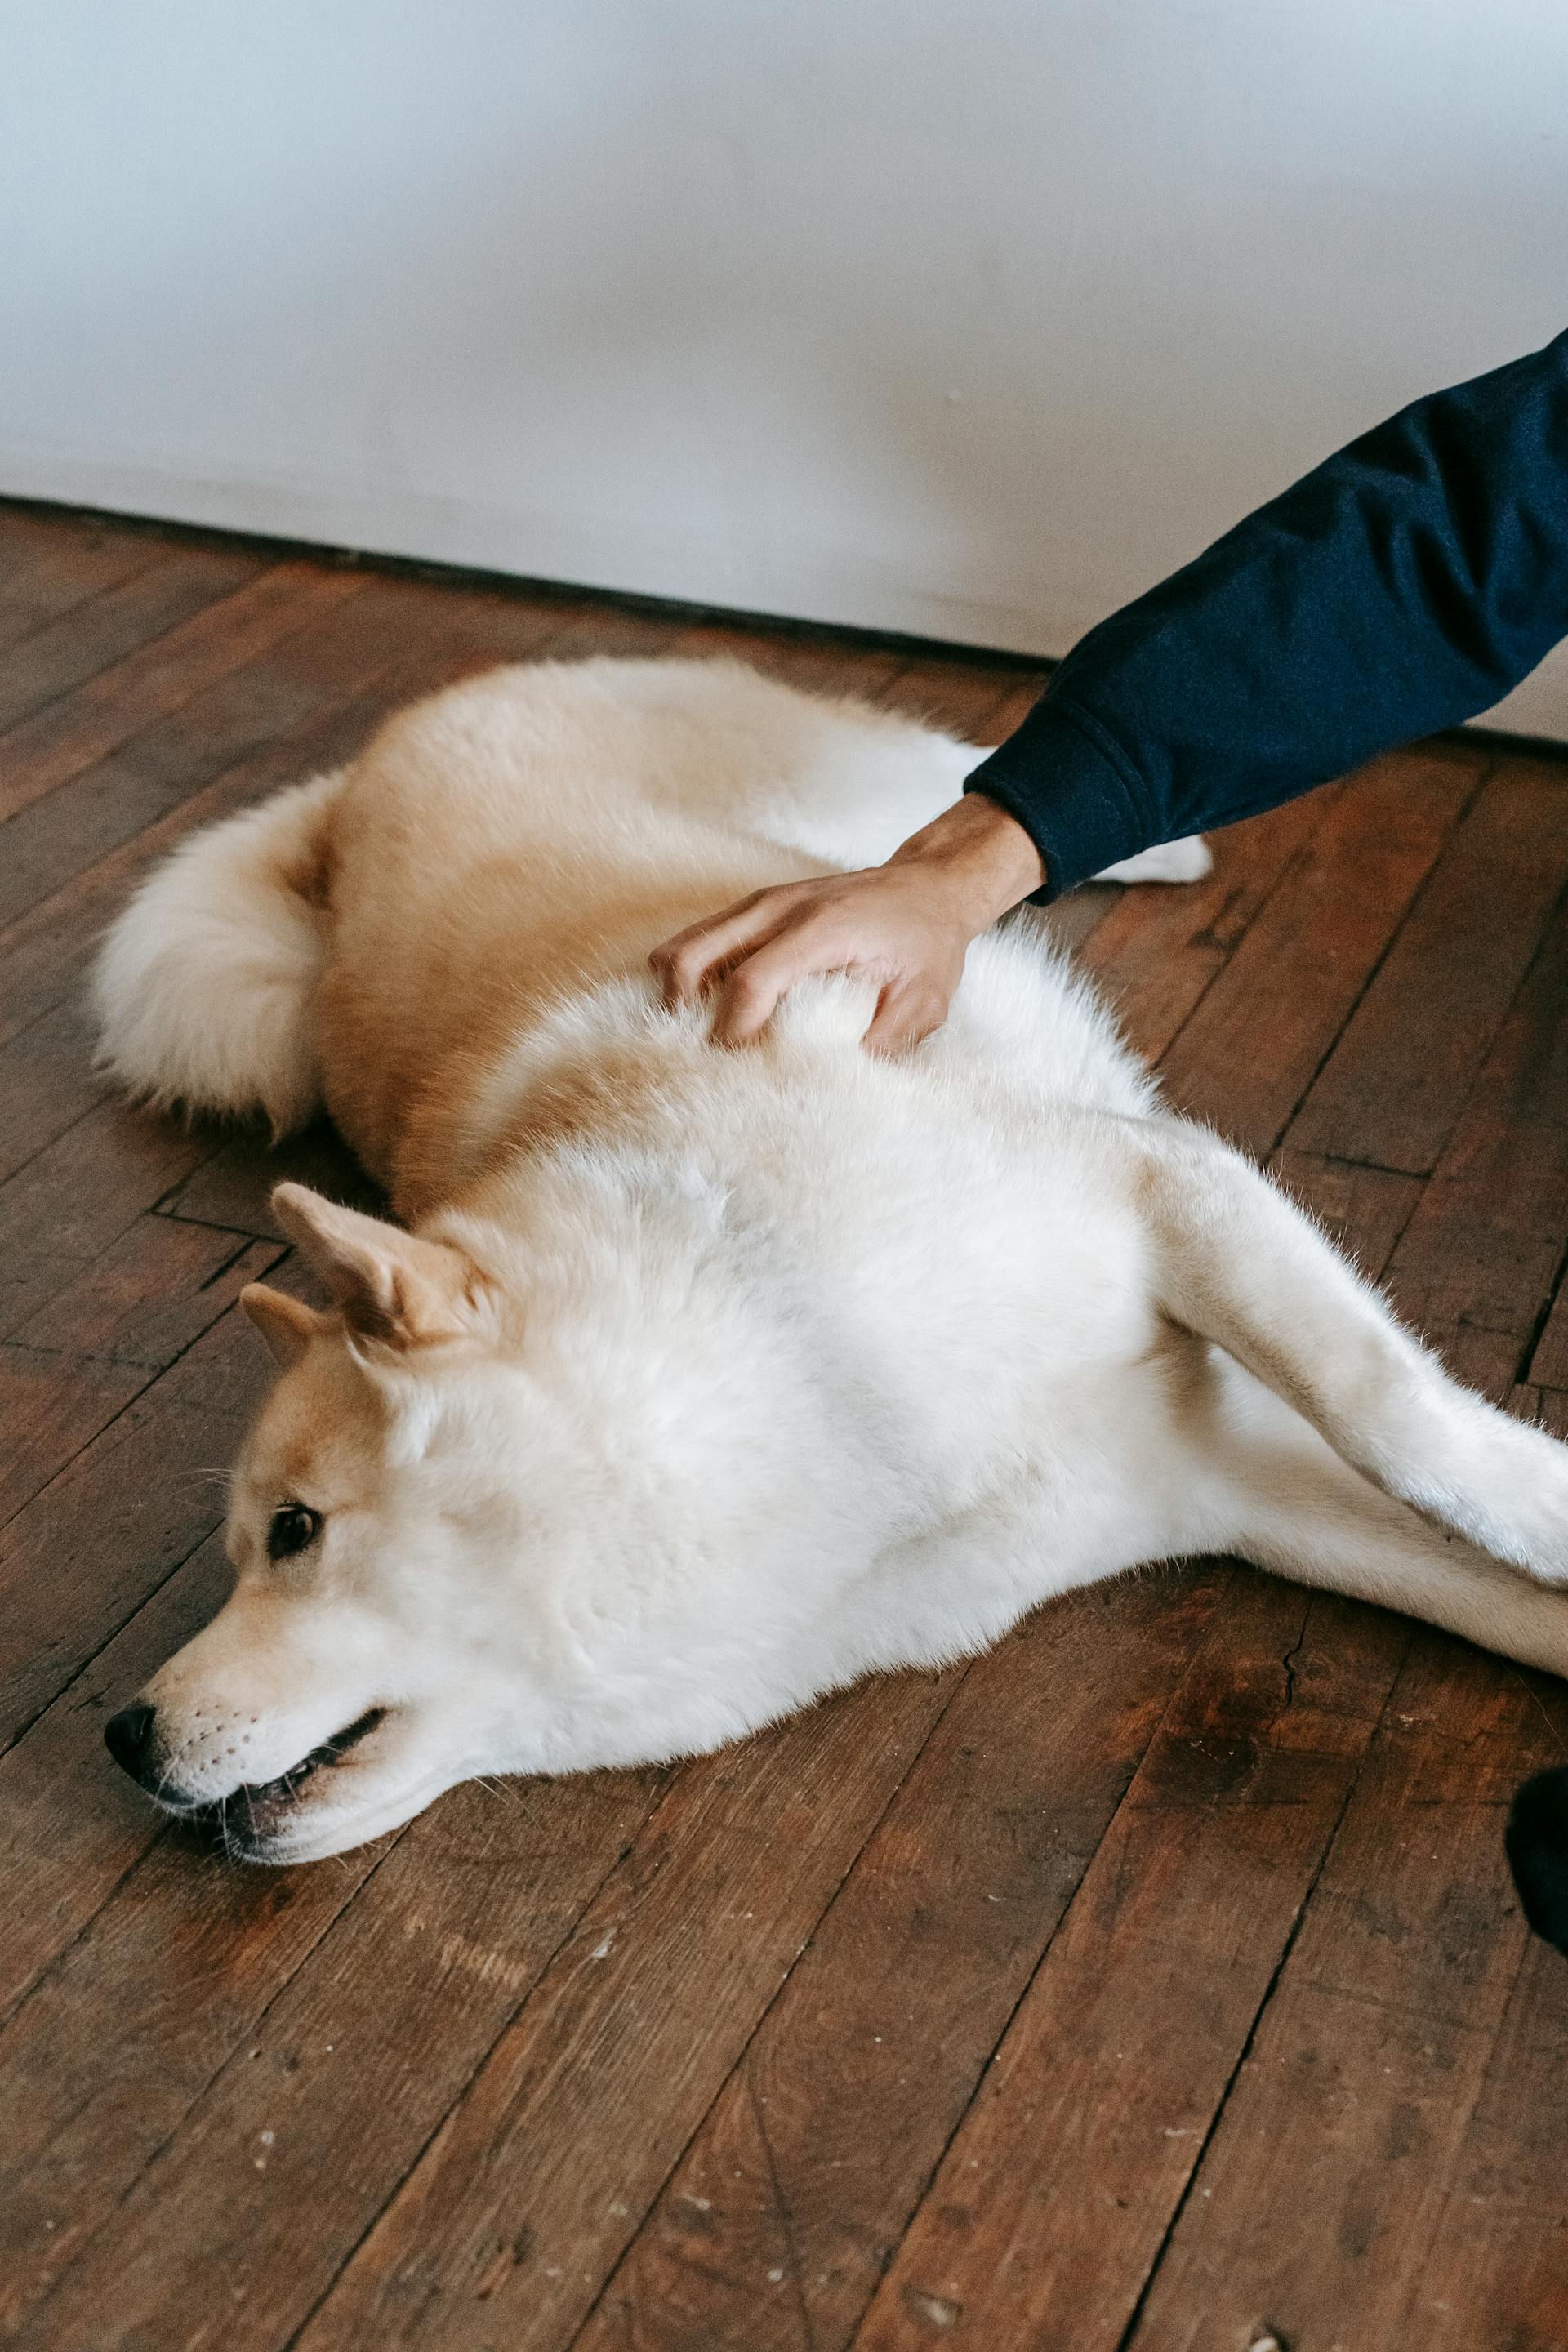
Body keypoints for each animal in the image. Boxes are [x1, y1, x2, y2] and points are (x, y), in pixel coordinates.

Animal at [88, 653, 1568, 1862]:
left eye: (293, 1532)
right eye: (239, 1549)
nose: (123, 1737)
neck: (804, 1404)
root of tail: (358, 784)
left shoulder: (1160, 1183)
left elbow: (1393, 1415)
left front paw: (1540, 1504)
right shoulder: (1218, 1478)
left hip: (867, 794)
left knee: (980, 787)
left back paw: (1170, 849)